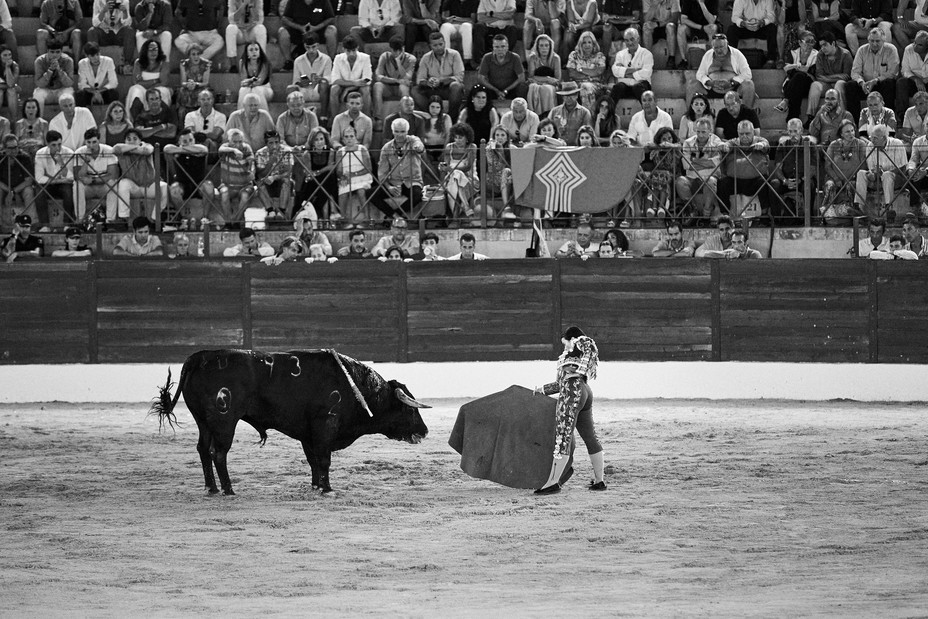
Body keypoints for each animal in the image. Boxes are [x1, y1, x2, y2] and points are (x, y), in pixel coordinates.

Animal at [149, 348, 430, 495]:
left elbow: (313, 460)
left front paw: (316, 486)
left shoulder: (308, 433)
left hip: (203, 421)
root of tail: (199, 357)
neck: (354, 387)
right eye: (410, 411)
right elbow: (324, 459)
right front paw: (328, 489)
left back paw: (212, 488)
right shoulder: (325, 425)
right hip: (224, 421)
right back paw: (228, 489)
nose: (425, 431)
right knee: (218, 453)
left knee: (202, 450)